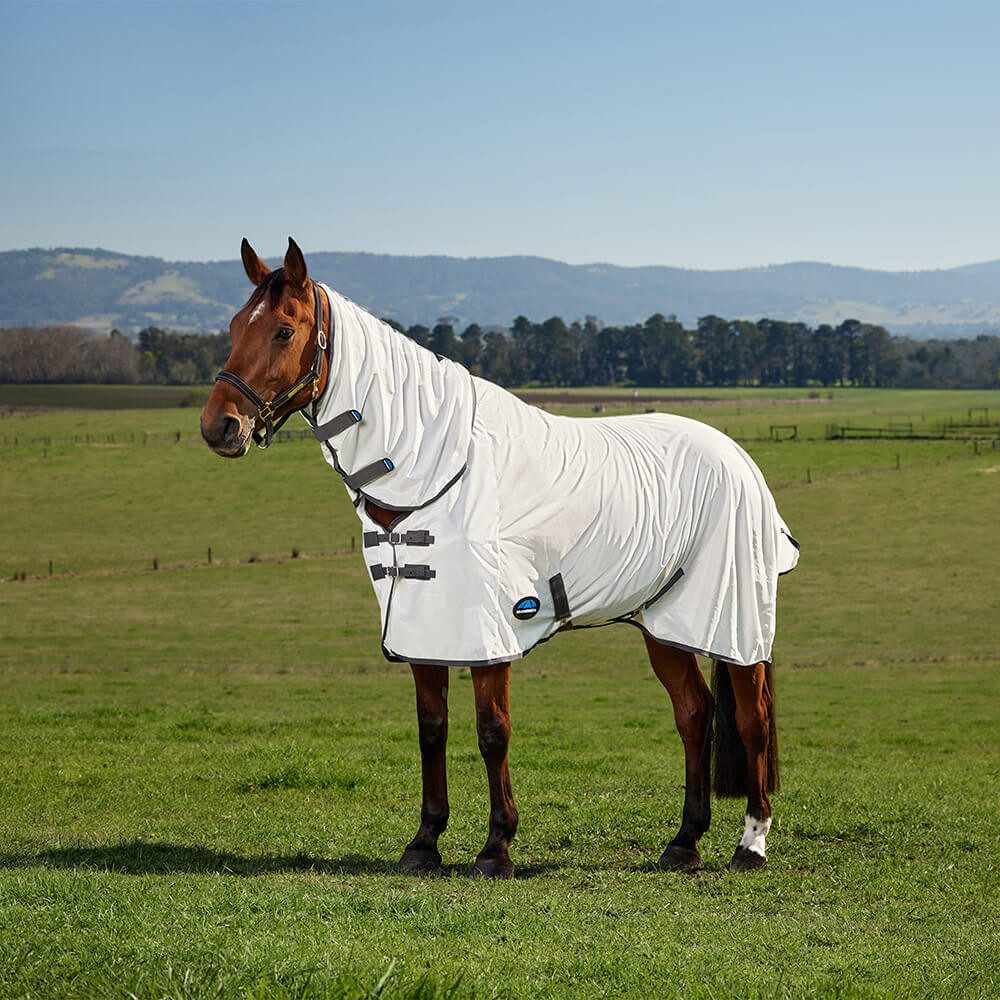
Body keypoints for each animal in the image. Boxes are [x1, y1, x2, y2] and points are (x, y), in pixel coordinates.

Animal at [200, 237, 798, 877]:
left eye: (284, 331)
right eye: (234, 325)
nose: (219, 427)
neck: (434, 464)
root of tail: (737, 456)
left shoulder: (490, 628)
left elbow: (492, 731)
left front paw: (496, 847)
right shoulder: (423, 626)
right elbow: (431, 729)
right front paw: (424, 843)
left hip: (734, 620)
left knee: (752, 720)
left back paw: (750, 844)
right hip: (663, 622)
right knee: (694, 714)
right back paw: (684, 841)